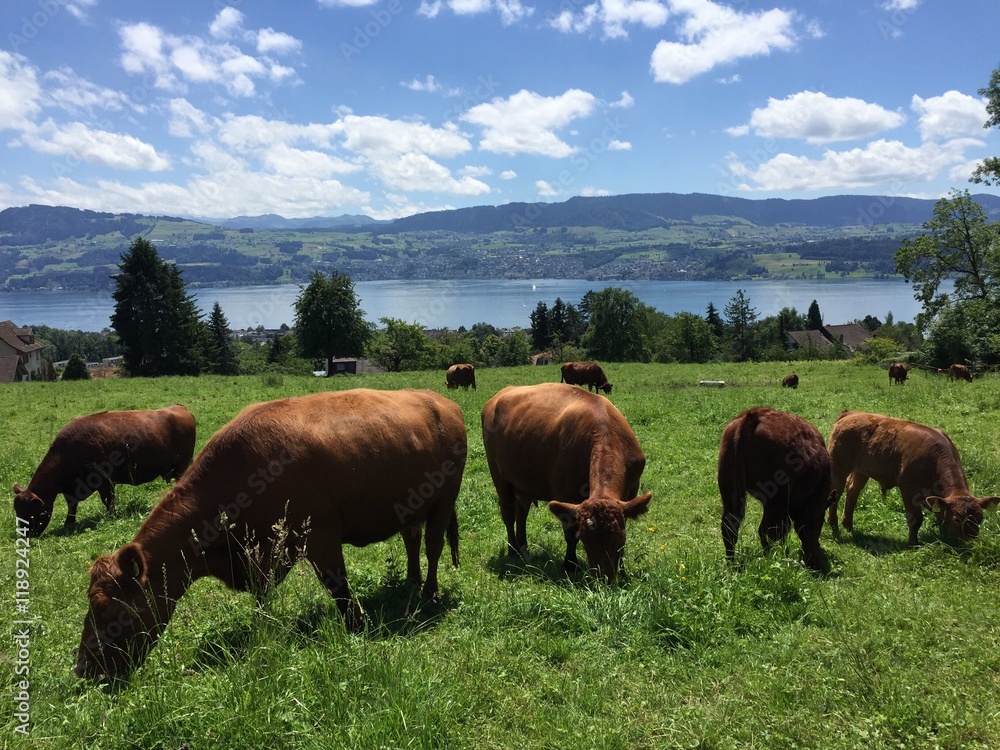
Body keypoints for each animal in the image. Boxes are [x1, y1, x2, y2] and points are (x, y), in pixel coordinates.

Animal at [14, 406, 195, 536]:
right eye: (17, 512)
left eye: (30, 514)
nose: (25, 535)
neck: (67, 453)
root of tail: (179, 408)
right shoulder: (70, 490)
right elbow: (72, 505)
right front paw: (68, 523)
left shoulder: (104, 482)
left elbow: (108, 501)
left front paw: (111, 516)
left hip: (183, 465)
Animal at [74, 390, 468, 684]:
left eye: (106, 608)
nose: (82, 668)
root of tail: (441, 402)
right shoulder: (262, 557)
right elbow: (264, 598)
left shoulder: (320, 538)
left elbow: (339, 588)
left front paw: (356, 624)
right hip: (413, 507)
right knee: (412, 540)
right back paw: (412, 581)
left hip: (444, 500)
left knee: (433, 546)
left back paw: (429, 592)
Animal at [480, 384, 652, 584]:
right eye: (586, 541)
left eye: (619, 540)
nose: (604, 580)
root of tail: (499, 395)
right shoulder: (564, 494)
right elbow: (570, 534)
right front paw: (570, 564)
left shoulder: (631, 491)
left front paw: (623, 571)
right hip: (499, 475)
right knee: (508, 514)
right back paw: (513, 550)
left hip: (522, 481)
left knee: (522, 512)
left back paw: (524, 548)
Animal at [720, 408, 836, 572]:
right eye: (821, 521)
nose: (815, 562)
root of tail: (754, 415)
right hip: (774, 502)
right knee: (765, 531)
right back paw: (771, 560)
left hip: (730, 493)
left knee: (730, 526)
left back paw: (732, 564)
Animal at [824, 412, 996, 548]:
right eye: (957, 519)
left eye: (980, 519)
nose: (970, 542)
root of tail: (850, 414)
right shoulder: (908, 488)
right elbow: (915, 519)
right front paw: (913, 543)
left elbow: (940, 516)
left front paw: (944, 537)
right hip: (838, 468)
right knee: (836, 494)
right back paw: (834, 524)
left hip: (861, 470)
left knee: (853, 491)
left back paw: (848, 525)